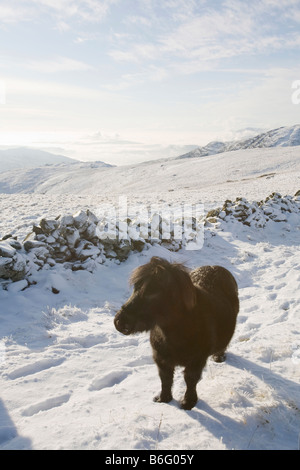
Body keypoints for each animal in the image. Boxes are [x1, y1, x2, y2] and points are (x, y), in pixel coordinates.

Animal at [113, 258, 240, 408]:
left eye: (153, 291)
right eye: (136, 287)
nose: (119, 321)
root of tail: (215, 267)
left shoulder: (196, 361)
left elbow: (190, 380)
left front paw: (188, 403)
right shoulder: (161, 358)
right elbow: (165, 379)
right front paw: (163, 399)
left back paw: (218, 357)